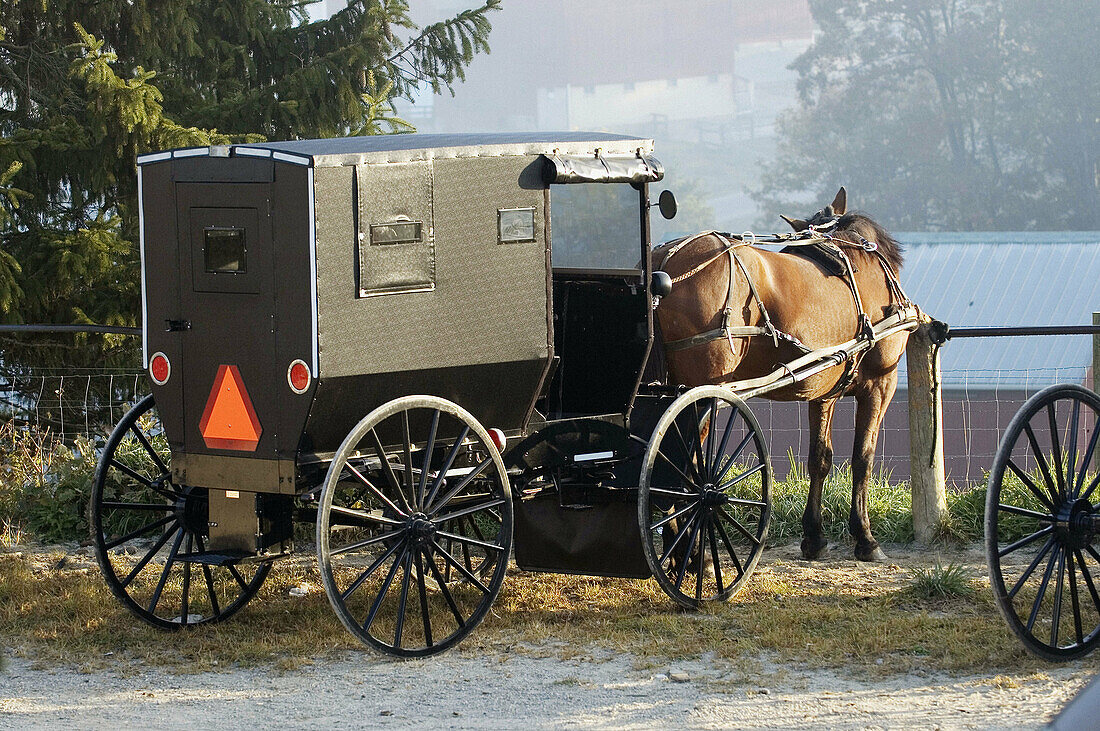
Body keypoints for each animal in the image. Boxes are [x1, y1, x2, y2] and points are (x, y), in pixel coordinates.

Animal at [655, 186, 906, 558]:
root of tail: (664, 262)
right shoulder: (880, 384)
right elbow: (863, 457)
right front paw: (865, 537)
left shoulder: (824, 392)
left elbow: (820, 458)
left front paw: (814, 536)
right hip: (701, 394)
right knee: (686, 467)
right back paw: (692, 548)